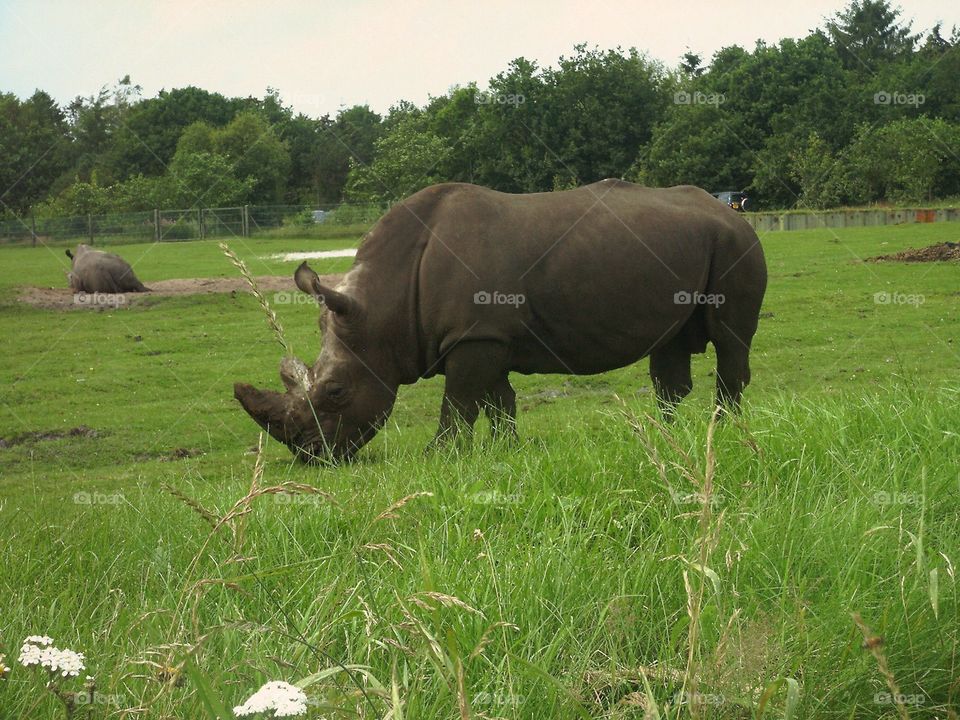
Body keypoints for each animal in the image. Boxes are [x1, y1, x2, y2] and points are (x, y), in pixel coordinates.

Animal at [235, 180, 767, 462]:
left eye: (337, 392)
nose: (308, 455)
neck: (385, 304)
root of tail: (731, 211)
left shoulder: (476, 337)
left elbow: (459, 403)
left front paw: (438, 456)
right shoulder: (485, 336)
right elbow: (497, 400)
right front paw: (507, 451)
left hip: (735, 244)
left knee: (730, 341)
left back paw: (724, 430)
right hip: (690, 246)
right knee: (670, 345)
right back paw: (666, 433)